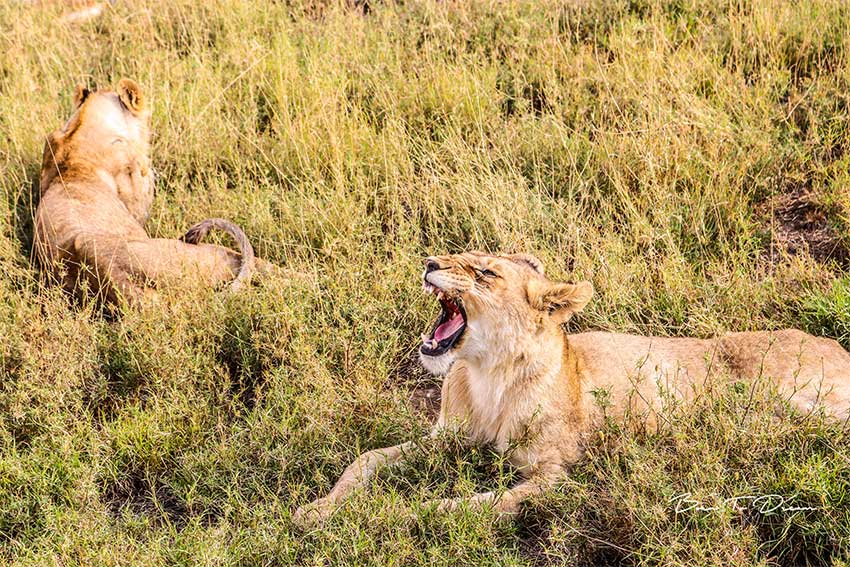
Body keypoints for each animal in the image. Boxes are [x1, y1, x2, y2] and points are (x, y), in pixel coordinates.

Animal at [294, 251, 848, 524]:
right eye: (451, 254)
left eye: (484, 272)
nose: (429, 263)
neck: (487, 375)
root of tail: (835, 345)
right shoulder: (446, 440)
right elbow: (364, 459)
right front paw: (315, 511)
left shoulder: (555, 475)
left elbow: (465, 503)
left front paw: (387, 513)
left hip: (797, 401)